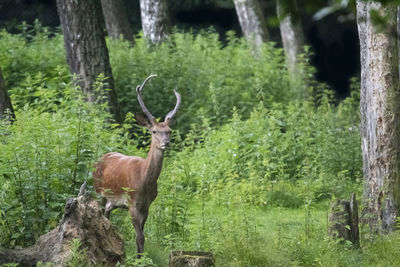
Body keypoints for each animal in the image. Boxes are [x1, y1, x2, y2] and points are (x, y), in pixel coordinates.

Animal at [93, 74, 180, 258]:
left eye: (169, 131)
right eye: (154, 131)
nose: (166, 143)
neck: (144, 182)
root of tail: (101, 158)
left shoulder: (147, 204)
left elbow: (139, 237)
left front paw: (140, 257)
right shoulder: (131, 202)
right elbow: (140, 237)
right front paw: (139, 259)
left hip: (112, 201)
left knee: (106, 215)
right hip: (98, 191)